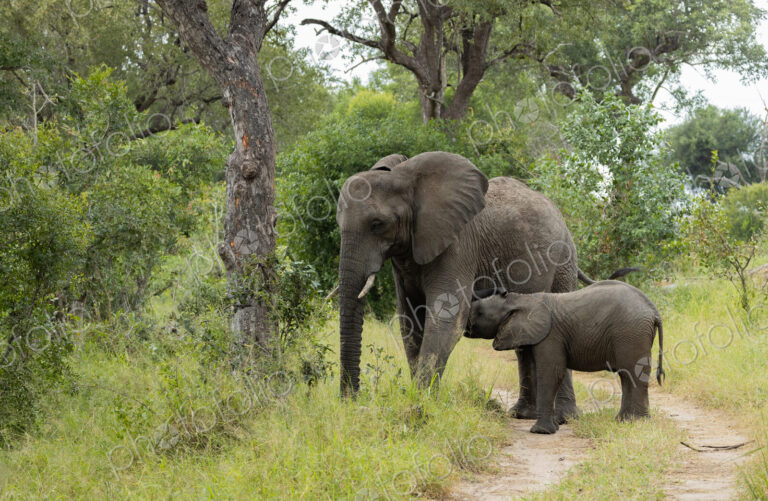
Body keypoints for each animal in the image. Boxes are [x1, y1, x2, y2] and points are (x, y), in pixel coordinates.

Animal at [335, 150, 601, 422]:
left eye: (377, 224)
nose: (351, 402)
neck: (406, 178)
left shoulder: (459, 246)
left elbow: (447, 317)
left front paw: (421, 405)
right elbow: (410, 321)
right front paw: (419, 400)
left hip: (564, 259)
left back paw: (565, 417)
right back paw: (523, 413)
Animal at [467, 280, 664, 434]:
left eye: (479, 313)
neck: (521, 298)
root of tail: (654, 311)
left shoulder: (550, 335)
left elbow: (551, 371)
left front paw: (541, 432)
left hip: (631, 332)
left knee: (632, 374)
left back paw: (635, 422)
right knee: (627, 375)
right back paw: (624, 421)